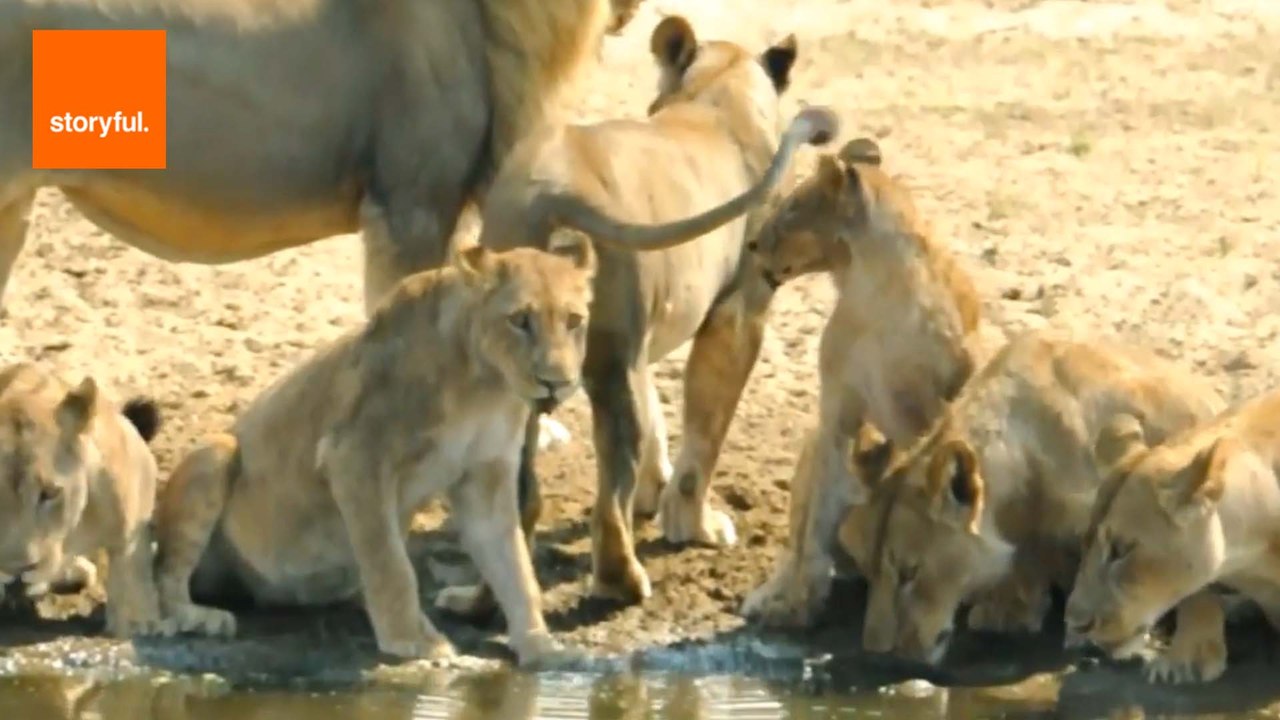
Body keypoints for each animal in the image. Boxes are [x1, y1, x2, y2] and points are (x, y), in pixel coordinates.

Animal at [151, 228, 597, 667]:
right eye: (519, 321)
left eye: (574, 321)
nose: (557, 382)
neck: (485, 387)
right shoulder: (355, 456)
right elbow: (390, 562)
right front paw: (414, 641)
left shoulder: (484, 475)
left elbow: (514, 567)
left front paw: (541, 646)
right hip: (216, 450)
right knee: (166, 576)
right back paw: (200, 616)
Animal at [469, 15, 838, 606]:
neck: (716, 95)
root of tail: (553, 191)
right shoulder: (740, 314)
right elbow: (705, 431)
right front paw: (695, 525)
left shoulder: (642, 338)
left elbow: (662, 415)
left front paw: (655, 495)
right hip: (608, 357)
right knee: (610, 482)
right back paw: (622, 582)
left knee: (517, 494)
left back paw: (478, 598)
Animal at [735, 136, 986, 628]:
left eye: (792, 207)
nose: (752, 244)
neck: (871, 289)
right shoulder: (838, 409)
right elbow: (815, 520)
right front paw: (799, 602)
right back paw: (768, 595)